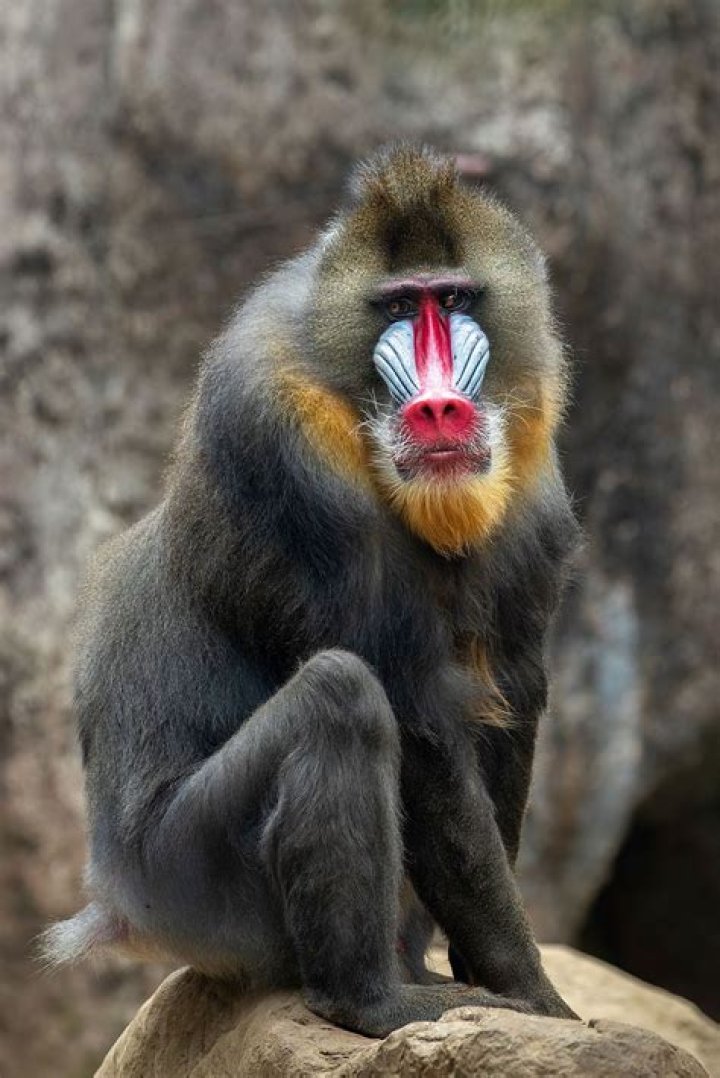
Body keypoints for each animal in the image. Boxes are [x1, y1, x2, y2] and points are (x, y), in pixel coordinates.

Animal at [44, 145, 580, 1038]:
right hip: (193, 879)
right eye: (396, 306)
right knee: (340, 694)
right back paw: (377, 999)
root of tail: (117, 896)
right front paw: (535, 997)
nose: (440, 408)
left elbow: (507, 707)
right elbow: (418, 725)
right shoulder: (282, 441)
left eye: (452, 299)